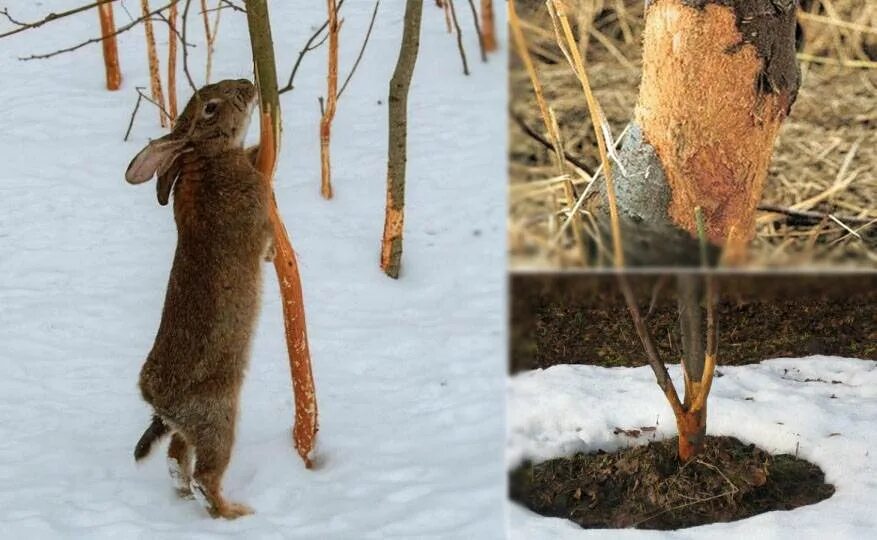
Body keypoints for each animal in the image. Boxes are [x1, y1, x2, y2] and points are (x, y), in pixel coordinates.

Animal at [124, 79, 274, 520]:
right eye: (210, 107)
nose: (248, 84)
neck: (206, 157)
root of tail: (157, 401)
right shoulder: (259, 215)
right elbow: (267, 236)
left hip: (190, 429)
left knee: (176, 458)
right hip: (218, 416)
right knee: (205, 475)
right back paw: (235, 513)